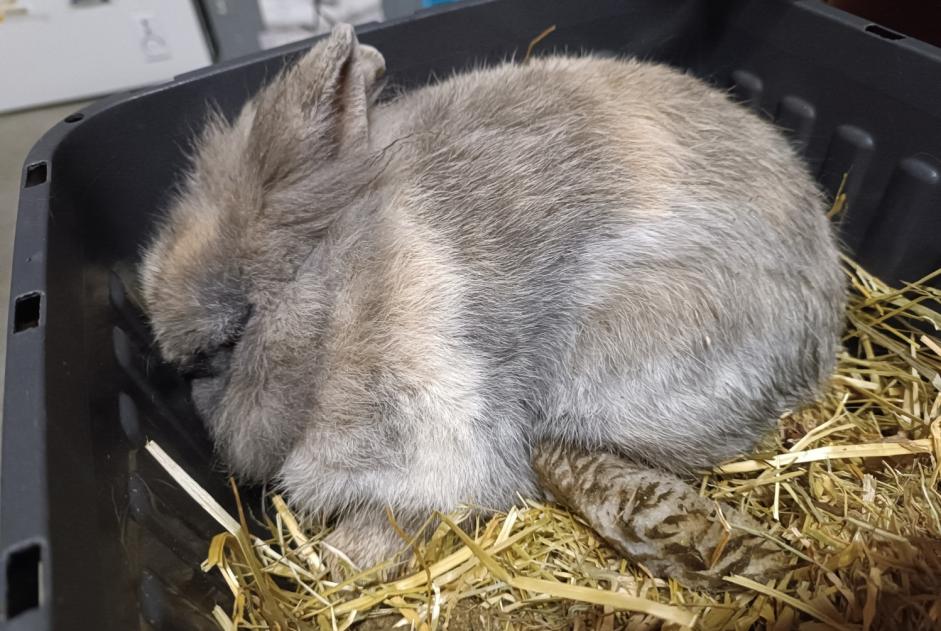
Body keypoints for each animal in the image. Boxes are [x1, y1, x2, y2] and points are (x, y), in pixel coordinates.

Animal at [140, 24, 844, 576]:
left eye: (231, 337)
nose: (189, 391)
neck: (340, 303)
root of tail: (825, 330)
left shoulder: (435, 445)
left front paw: (342, 560)